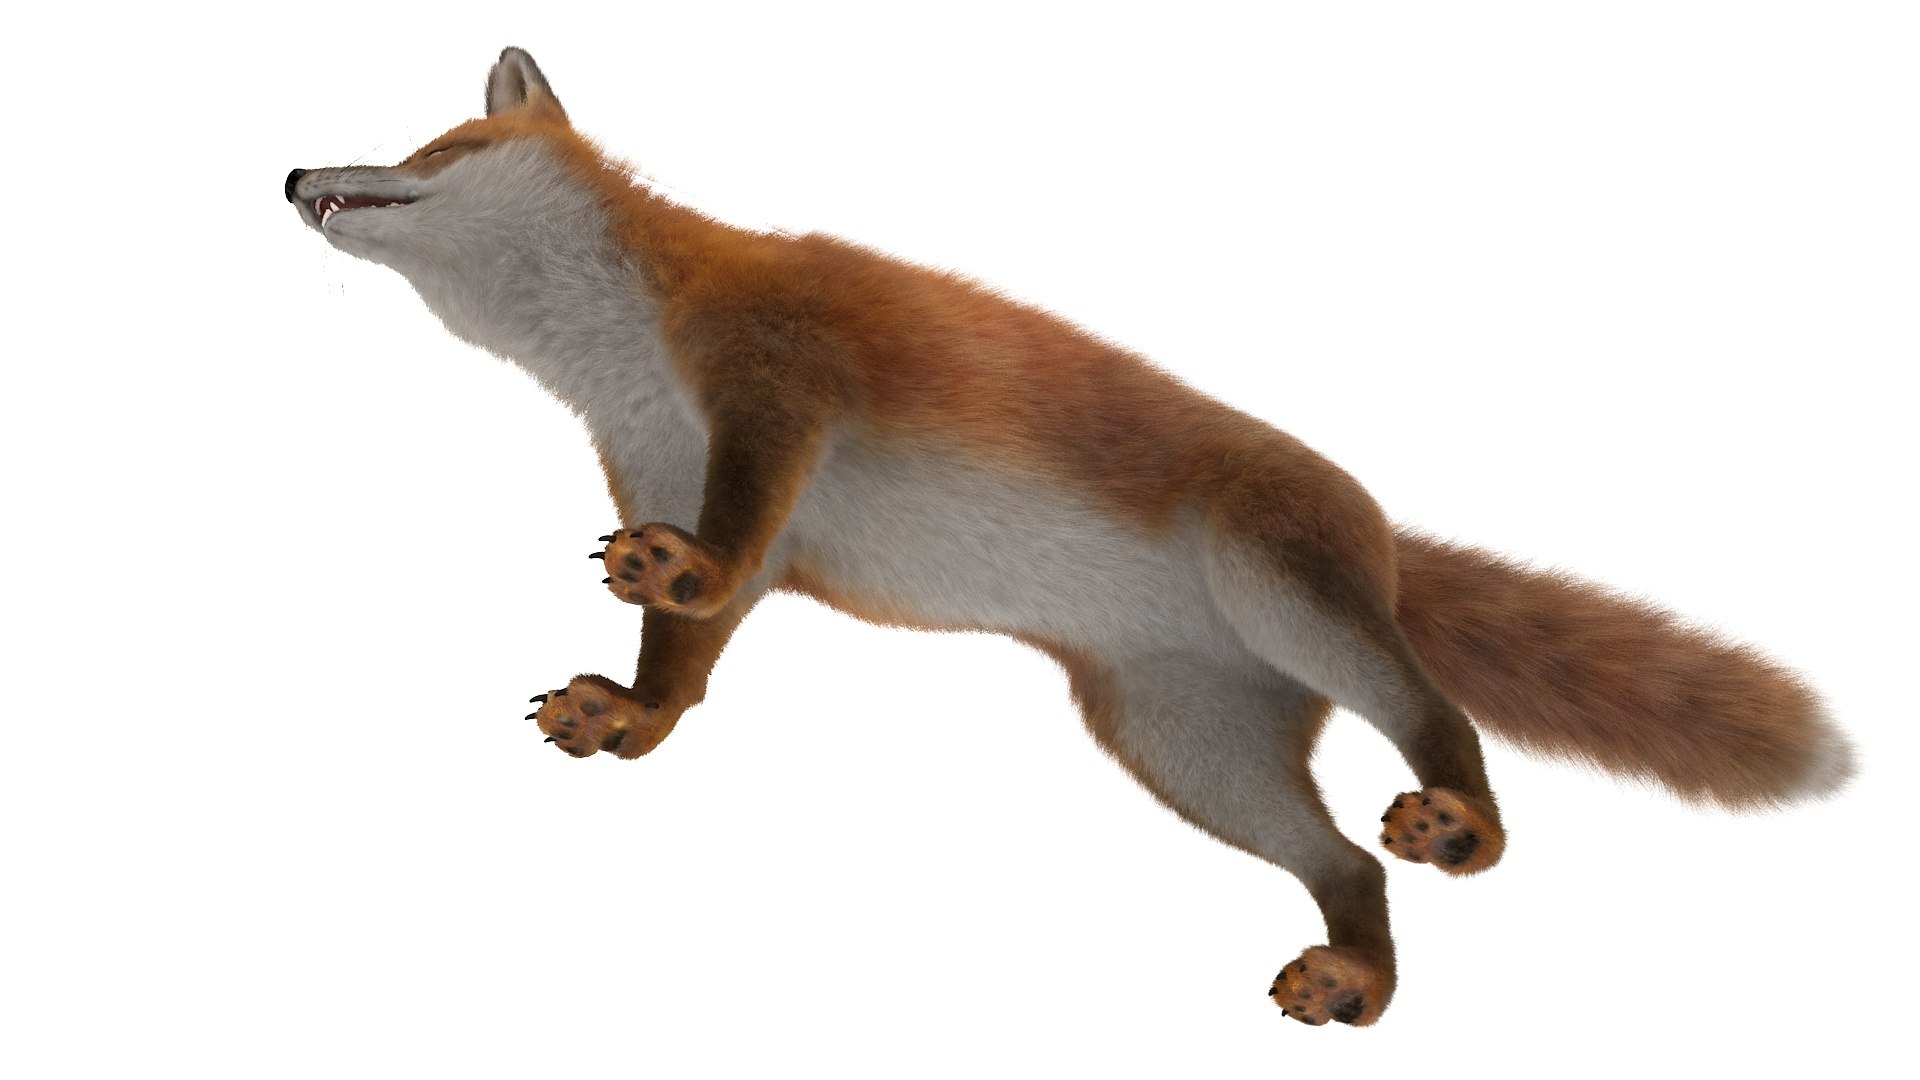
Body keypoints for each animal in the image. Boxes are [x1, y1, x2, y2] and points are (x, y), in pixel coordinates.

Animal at [287, 48, 1852, 1026]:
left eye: (434, 150)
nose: (296, 177)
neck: (627, 351)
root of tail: (1381, 542)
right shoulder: (687, 481)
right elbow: (691, 643)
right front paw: (631, 709)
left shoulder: (780, 384)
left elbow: (721, 550)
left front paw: (667, 621)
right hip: (1183, 748)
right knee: (1348, 869)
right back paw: (1358, 979)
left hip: (1284, 592)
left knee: (1439, 718)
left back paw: (1461, 821)